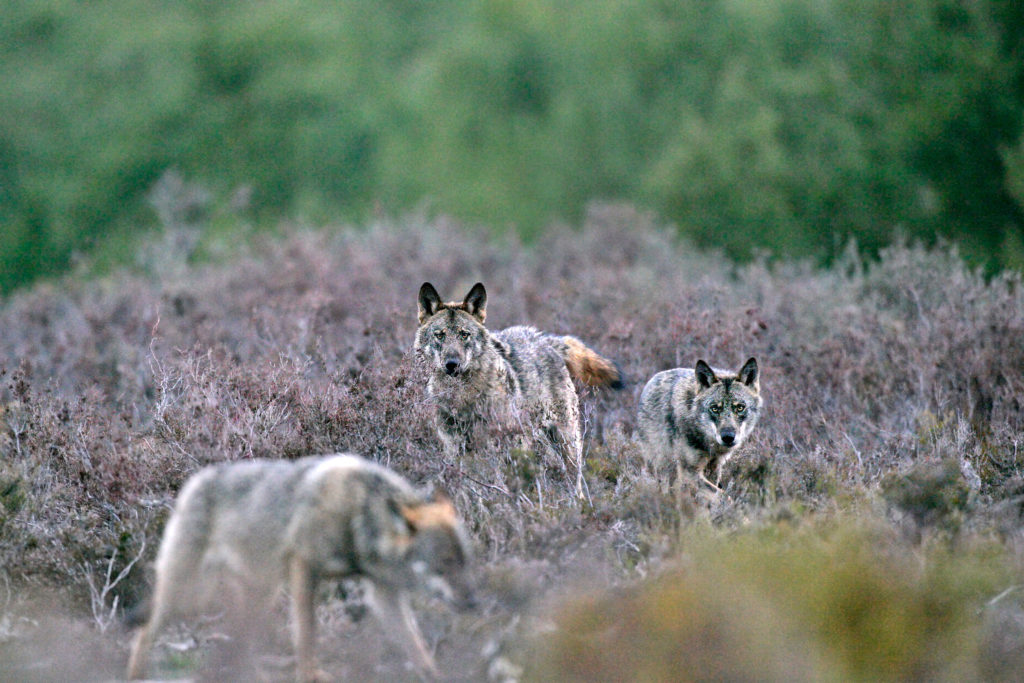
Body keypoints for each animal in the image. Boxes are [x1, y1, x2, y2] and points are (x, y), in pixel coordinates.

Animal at [125, 453, 474, 682]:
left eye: (463, 561)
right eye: (443, 564)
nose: (473, 603)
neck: (357, 515)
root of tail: (194, 481)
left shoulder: (384, 594)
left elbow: (418, 649)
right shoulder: (304, 567)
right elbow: (307, 635)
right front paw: (311, 675)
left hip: (255, 595)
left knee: (240, 643)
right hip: (190, 596)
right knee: (145, 630)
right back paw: (136, 674)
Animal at [414, 282, 623, 499]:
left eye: (464, 335)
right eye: (440, 335)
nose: (452, 364)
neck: (462, 398)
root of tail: (545, 339)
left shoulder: (502, 443)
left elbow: (498, 479)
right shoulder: (453, 446)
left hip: (564, 440)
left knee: (574, 478)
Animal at [637, 358, 762, 496]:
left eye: (740, 408)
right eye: (714, 409)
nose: (728, 437)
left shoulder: (715, 467)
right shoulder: (689, 471)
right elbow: (722, 495)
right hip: (661, 466)